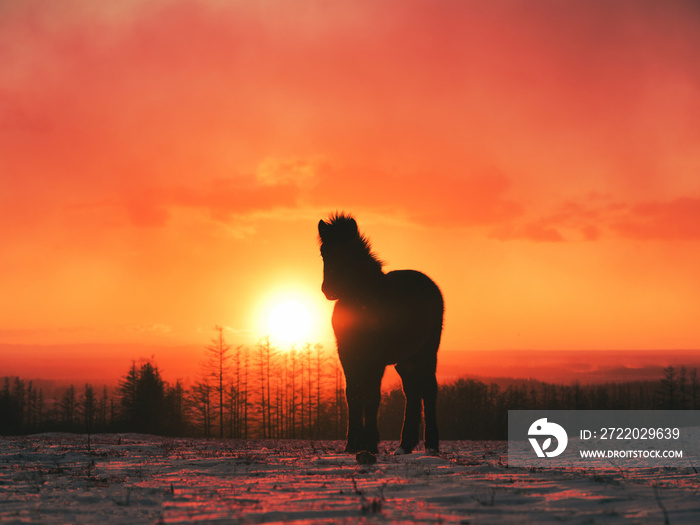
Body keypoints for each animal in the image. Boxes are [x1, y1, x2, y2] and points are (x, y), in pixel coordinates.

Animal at [318, 212, 442, 454]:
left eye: (349, 252)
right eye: (323, 252)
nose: (329, 290)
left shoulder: (374, 358)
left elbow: (371, 395)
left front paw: (369, 444)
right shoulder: (347, 355)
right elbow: (352, 393)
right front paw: (351, 445)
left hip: (428, 351)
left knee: (429, 389)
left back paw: (431, 444)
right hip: (406, 359)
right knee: (412, 391)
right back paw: (405, 445)